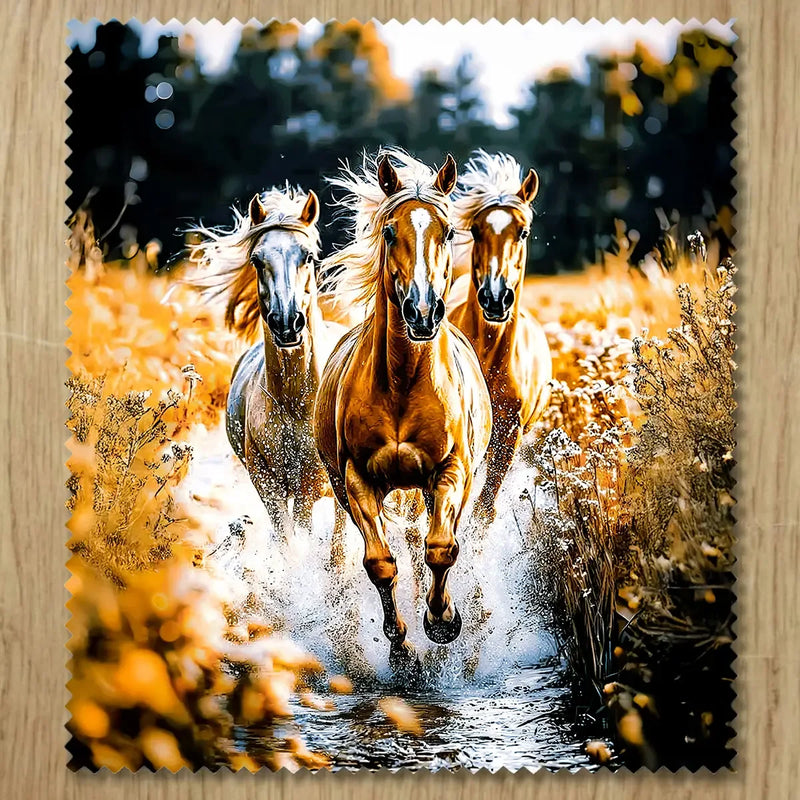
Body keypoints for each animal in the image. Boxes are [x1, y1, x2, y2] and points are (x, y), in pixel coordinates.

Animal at [188, 187, 347, 550]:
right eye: (257, 260)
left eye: (308, 256)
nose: (287, 322)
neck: (297, 405)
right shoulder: (271, 487)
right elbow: (289, 545)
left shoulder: (316, 486)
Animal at [314, 149, 493, 670]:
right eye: (391, 231)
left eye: (448, 231)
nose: (422, 311)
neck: (402, 381)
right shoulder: (357, 478)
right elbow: (380, 563)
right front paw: (401, 645)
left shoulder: (452, 469)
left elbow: (441, 548)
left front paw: (443, 621)